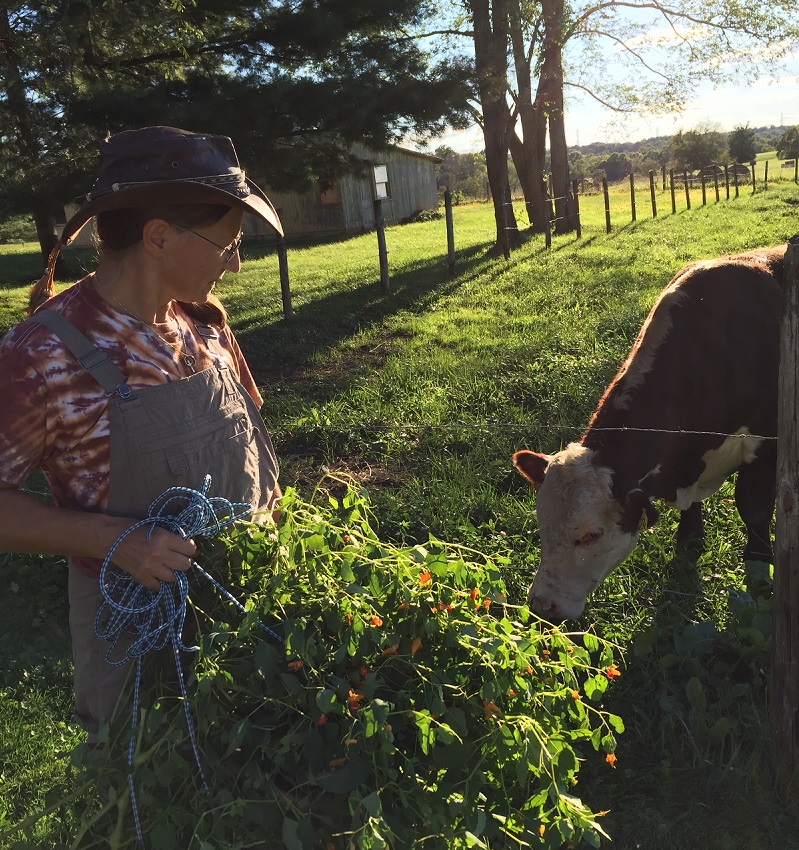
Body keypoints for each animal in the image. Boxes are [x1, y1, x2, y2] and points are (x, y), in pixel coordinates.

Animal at [516, 243, 784, 616]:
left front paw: (759, 566)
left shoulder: (765, 441)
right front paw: (689, 538)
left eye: (593, 534)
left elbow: (754, 508)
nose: (542, 604)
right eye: (542, 523)